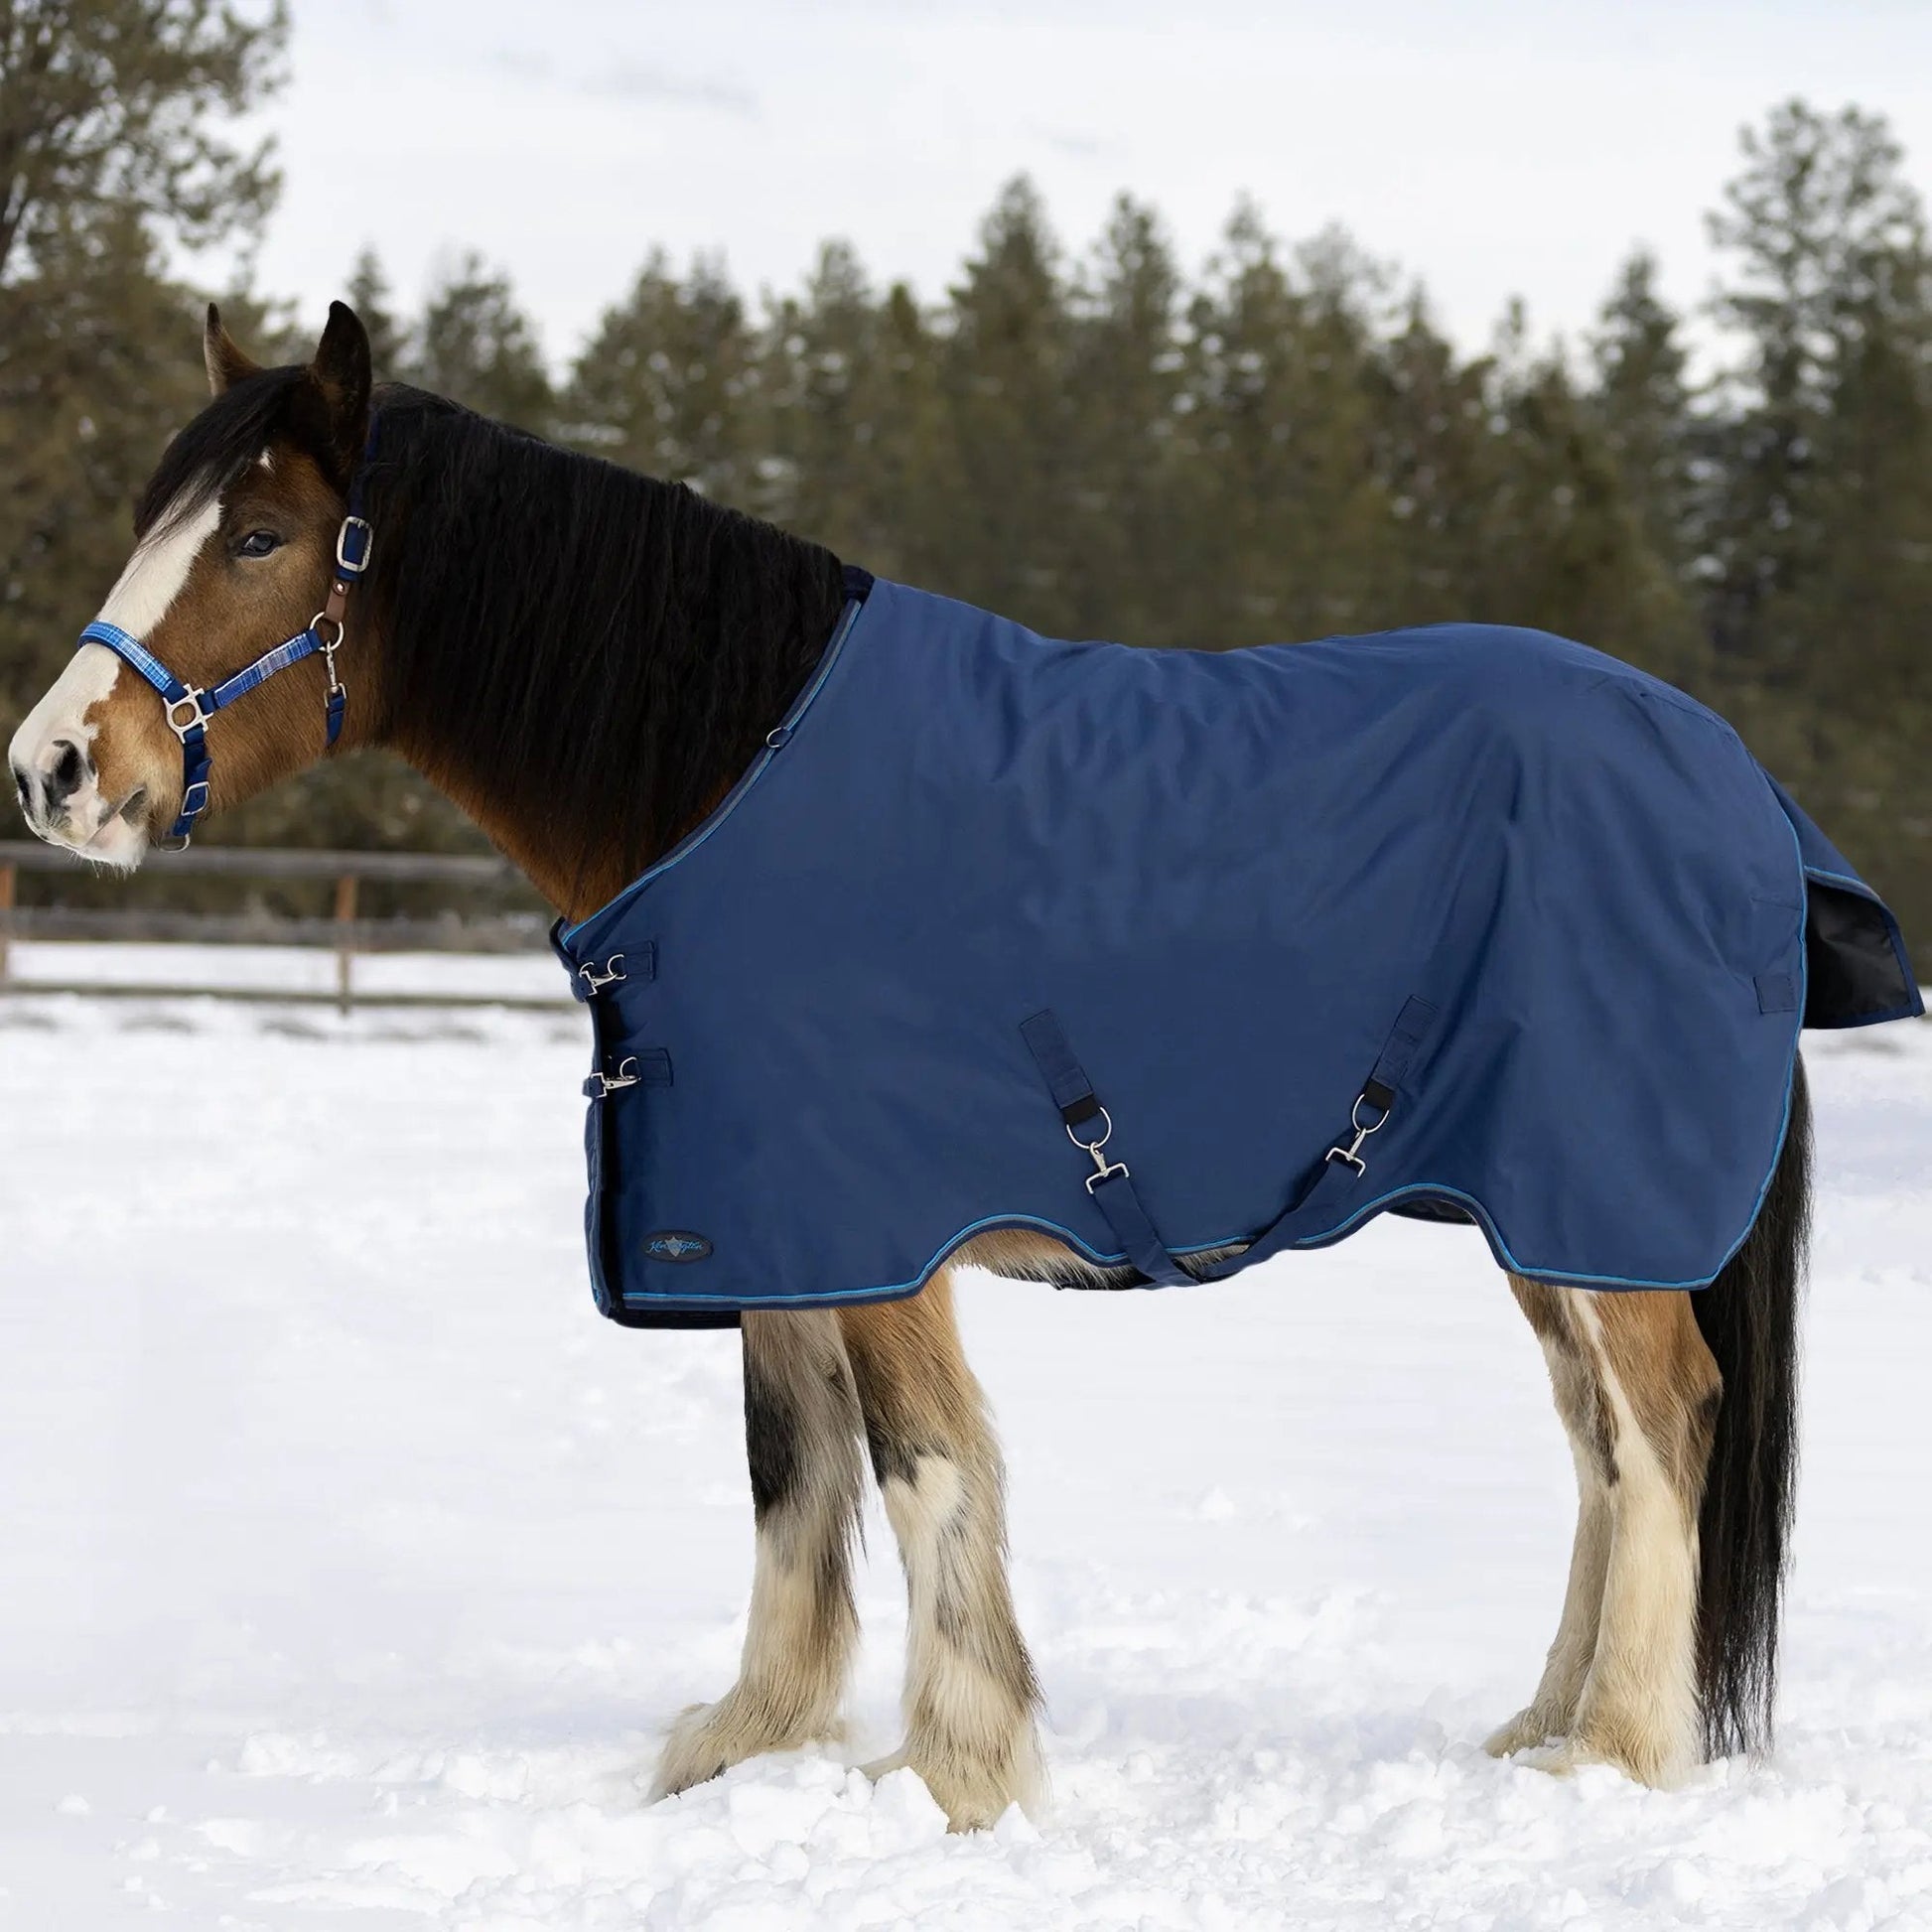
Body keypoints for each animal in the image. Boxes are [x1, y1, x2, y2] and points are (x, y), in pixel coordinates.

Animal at [6, 301, 1880, 1832]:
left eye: (258, 534)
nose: (51, 769)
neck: (728, 774)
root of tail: (1738, 786)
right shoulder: (768, 1222)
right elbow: (790, 1474)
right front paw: (750, 1743)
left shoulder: (879, 1224)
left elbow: (921, 1468)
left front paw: (959, 1772)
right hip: (1543, 1216)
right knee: (1596, 1445)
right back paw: (1542, 1724)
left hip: (1596, 1197)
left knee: (1664, 1423)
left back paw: (1614, 1751)